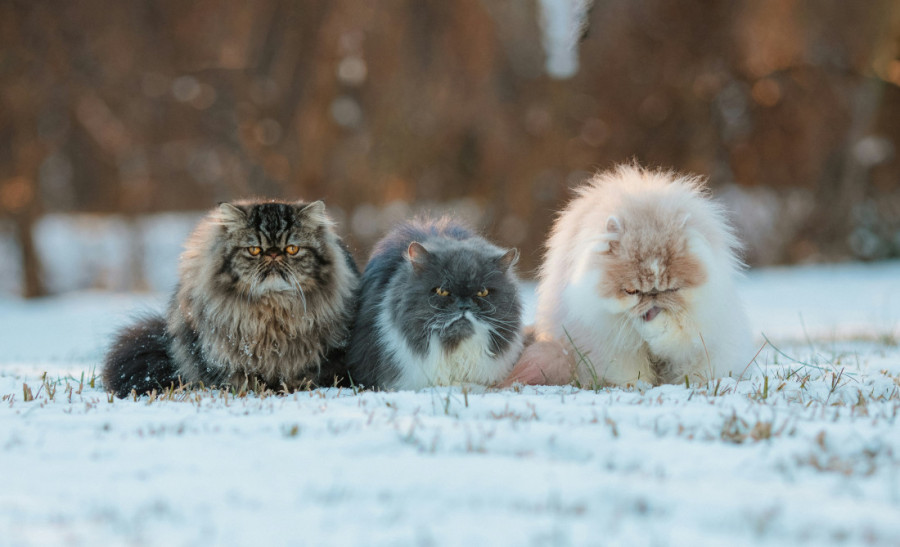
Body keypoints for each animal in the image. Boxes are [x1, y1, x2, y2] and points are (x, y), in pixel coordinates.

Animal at [506, 165, 752, 388]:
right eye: (632, 291)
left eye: (671, 289)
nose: (653, 296)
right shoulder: (607, 338)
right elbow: (630, 370)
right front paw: (637, 386)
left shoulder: (698, 326)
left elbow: (674, 334)